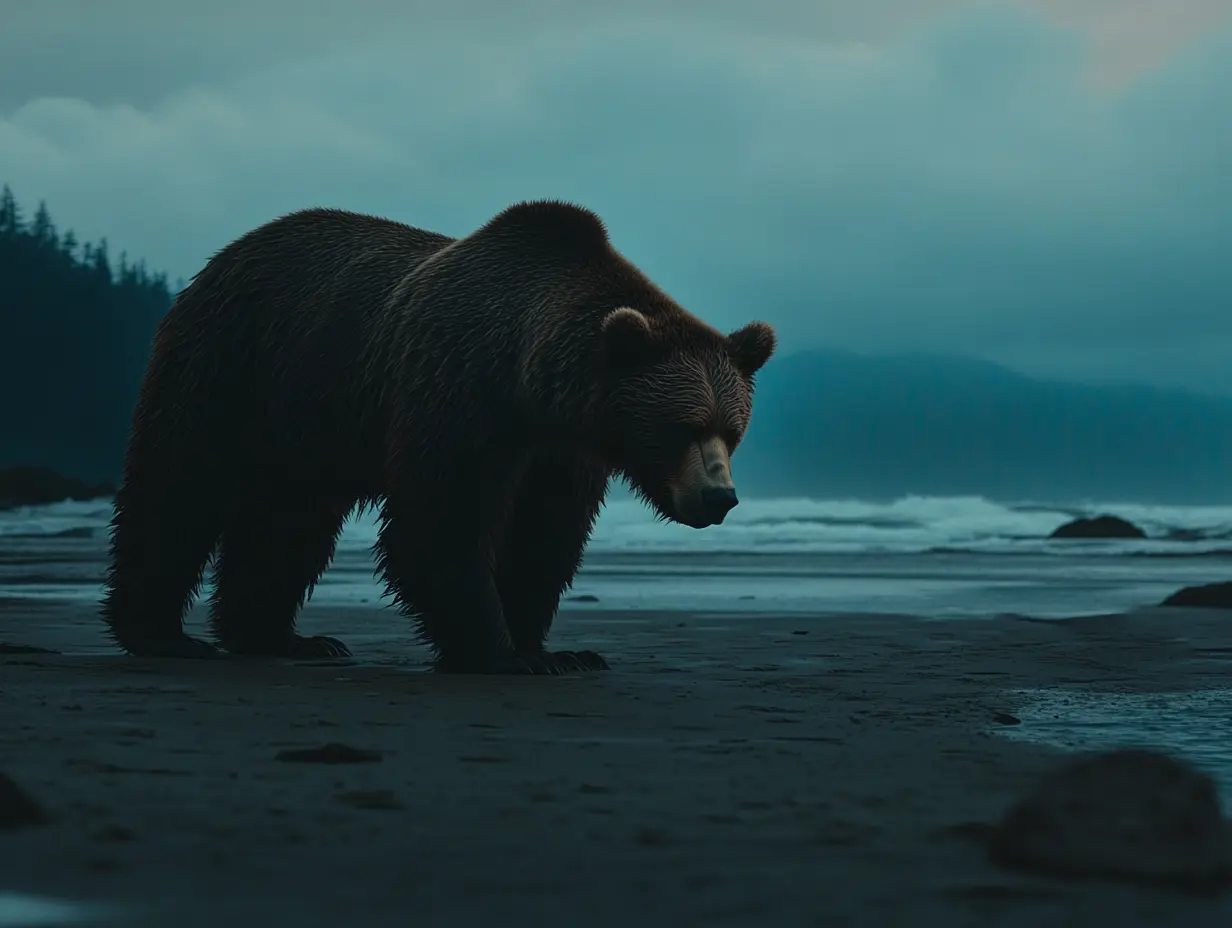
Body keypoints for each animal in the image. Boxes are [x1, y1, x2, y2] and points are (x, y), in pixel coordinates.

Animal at [100, 201, 776, 674]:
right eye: (681, 427)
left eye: (733, 431)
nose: (719, 497)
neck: (532, 388)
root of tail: (226, 253)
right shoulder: (457, 394)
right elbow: (442, 519)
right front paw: (501, 652)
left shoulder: (559, 454)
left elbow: (545, 537)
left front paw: (556, 651)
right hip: (232, 367)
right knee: (179, 488)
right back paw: (163, 635)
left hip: (308, 420)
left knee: (288, 523)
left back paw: (285, 637)